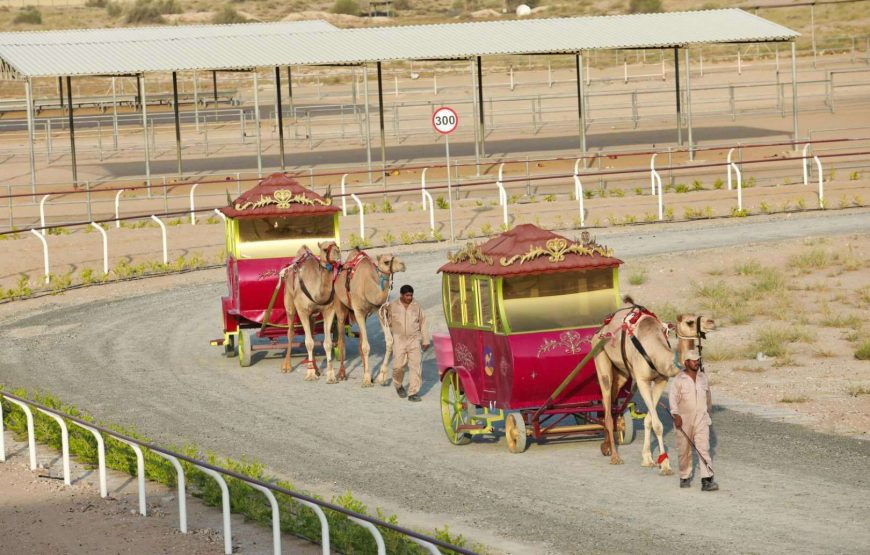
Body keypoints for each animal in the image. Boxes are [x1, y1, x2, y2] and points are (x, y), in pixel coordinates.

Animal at [280, 241, 342, 382]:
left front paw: (331, 376)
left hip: (312, 315)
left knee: (312, 333)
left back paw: (317, 369)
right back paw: (286, 366)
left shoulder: (329, 310)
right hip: (289, 304)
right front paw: (310, 374)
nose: (338, 253)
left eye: (336, 245)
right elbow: (308, 342)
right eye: (325, 249)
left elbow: (327, 343)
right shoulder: (302, 310)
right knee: (290, 332)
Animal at [333, 248, 406, 387]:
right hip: (340, 307)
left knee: (360, 341)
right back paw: (342, 374)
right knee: (341, 340)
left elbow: (389, 341)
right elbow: (366, 346)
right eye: (386, 261)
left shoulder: (378, 309)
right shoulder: (358, 311)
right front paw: (367, 379)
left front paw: (381, 377)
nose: (403, 264)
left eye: (394, 256)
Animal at [593, 297, 715, 474]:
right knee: (608, 407)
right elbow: (657, 424)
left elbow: (649, 421)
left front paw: (648, 459)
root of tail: (601, 328)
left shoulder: (660, 380)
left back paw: (606, 446)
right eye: (690, 322)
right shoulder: (642, 380)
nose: (712, 322)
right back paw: (615, 457)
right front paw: (665, 465)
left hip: (622, 372)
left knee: (611, 403)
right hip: (600, 357)